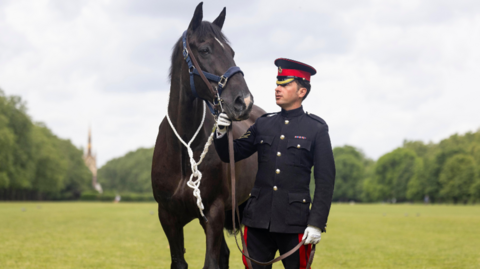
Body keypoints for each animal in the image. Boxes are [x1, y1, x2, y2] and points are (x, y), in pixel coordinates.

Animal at [152, 2, 264, 268]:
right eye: (204, 50)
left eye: (231, 52)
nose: (243, 101)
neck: (184, 148)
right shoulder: (168, 218)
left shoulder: (213, 213)